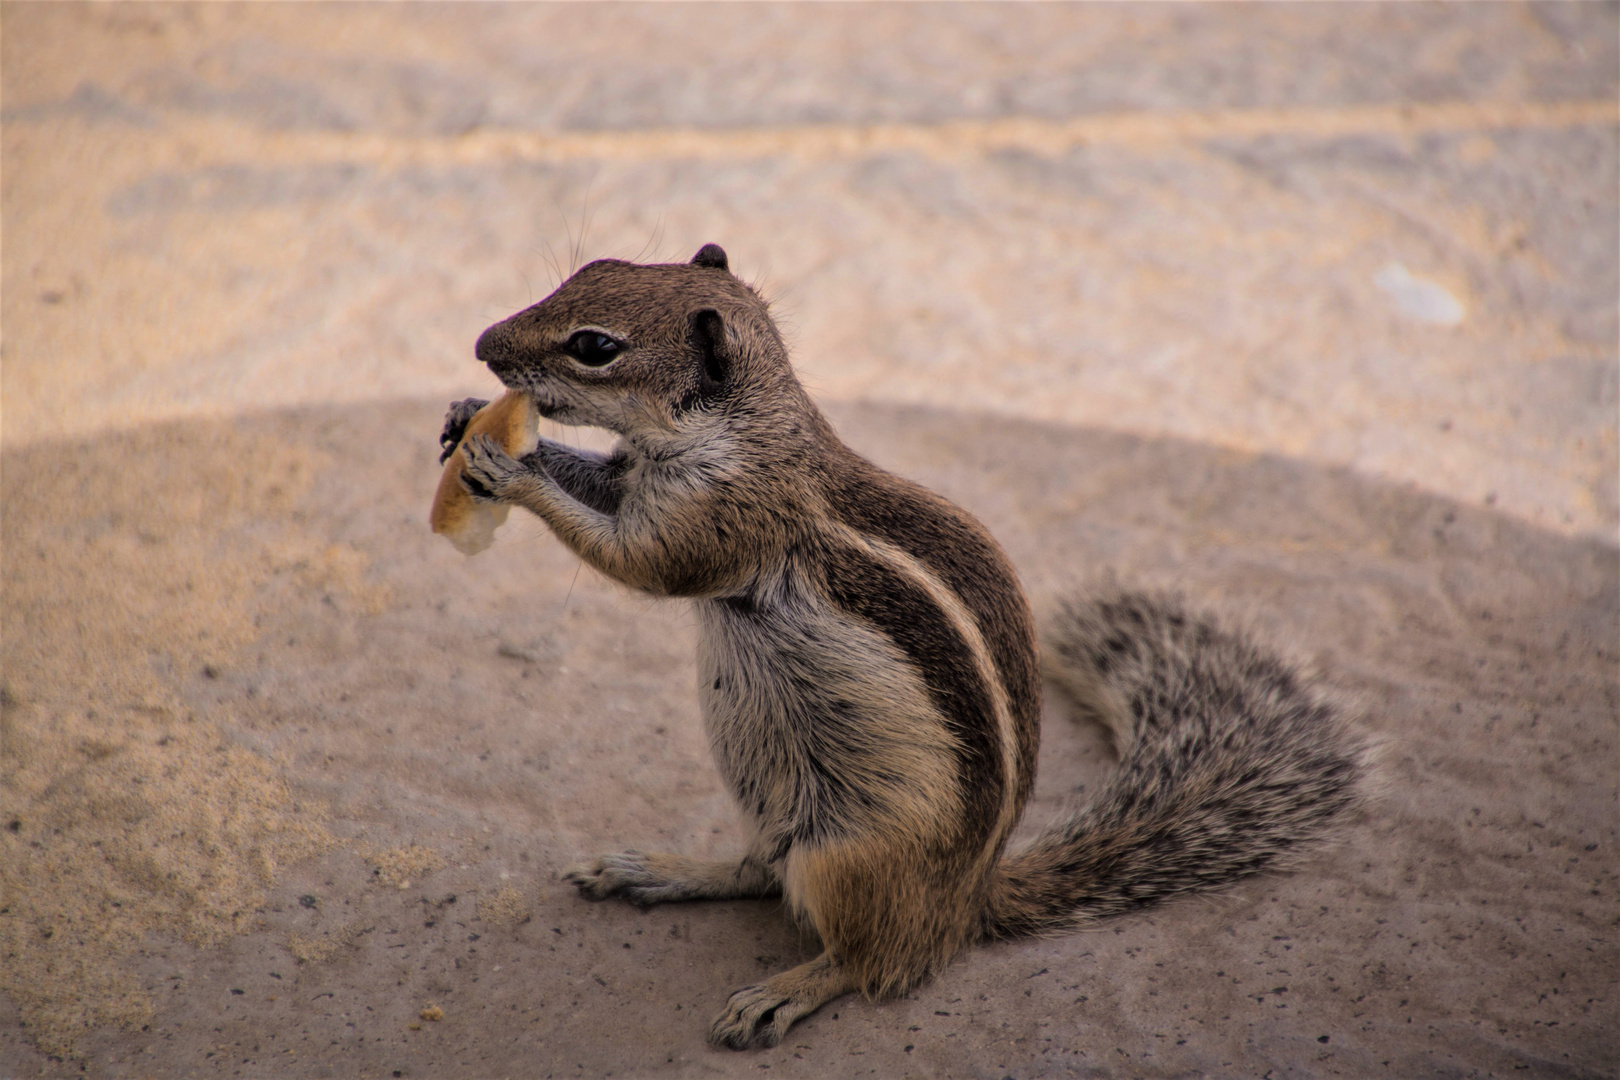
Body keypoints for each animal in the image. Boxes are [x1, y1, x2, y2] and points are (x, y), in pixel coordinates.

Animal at [443, 242, 1367, 1049]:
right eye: (591, 270)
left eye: (594, 347)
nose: (483, 344)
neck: (749, 427)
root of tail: (965, 903)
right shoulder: (646, 479)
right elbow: (601, 485)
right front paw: (465, 418)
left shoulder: (722, 518)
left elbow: (641, 562)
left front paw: (511, 468)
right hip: (765, 795)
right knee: (759, 871)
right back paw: (660, 870)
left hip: (848, 859)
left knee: (873, 961)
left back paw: (785, 991)